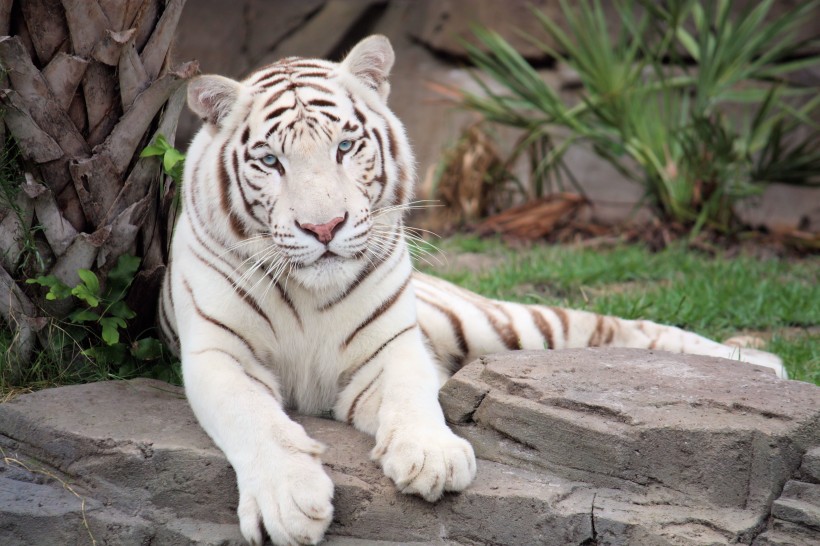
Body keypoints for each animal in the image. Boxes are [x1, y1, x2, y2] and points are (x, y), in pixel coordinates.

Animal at [159, 35, 786, 546]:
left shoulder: (392, 346)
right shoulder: (218, 354)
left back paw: (760, 364)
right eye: (270, 161)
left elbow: (413, 394)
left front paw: (431, 456)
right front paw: (288, 501)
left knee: (612, 327)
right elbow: (254, 419)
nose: (325, 228)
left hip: (496, 325)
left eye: (345, 147)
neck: (312, 296)